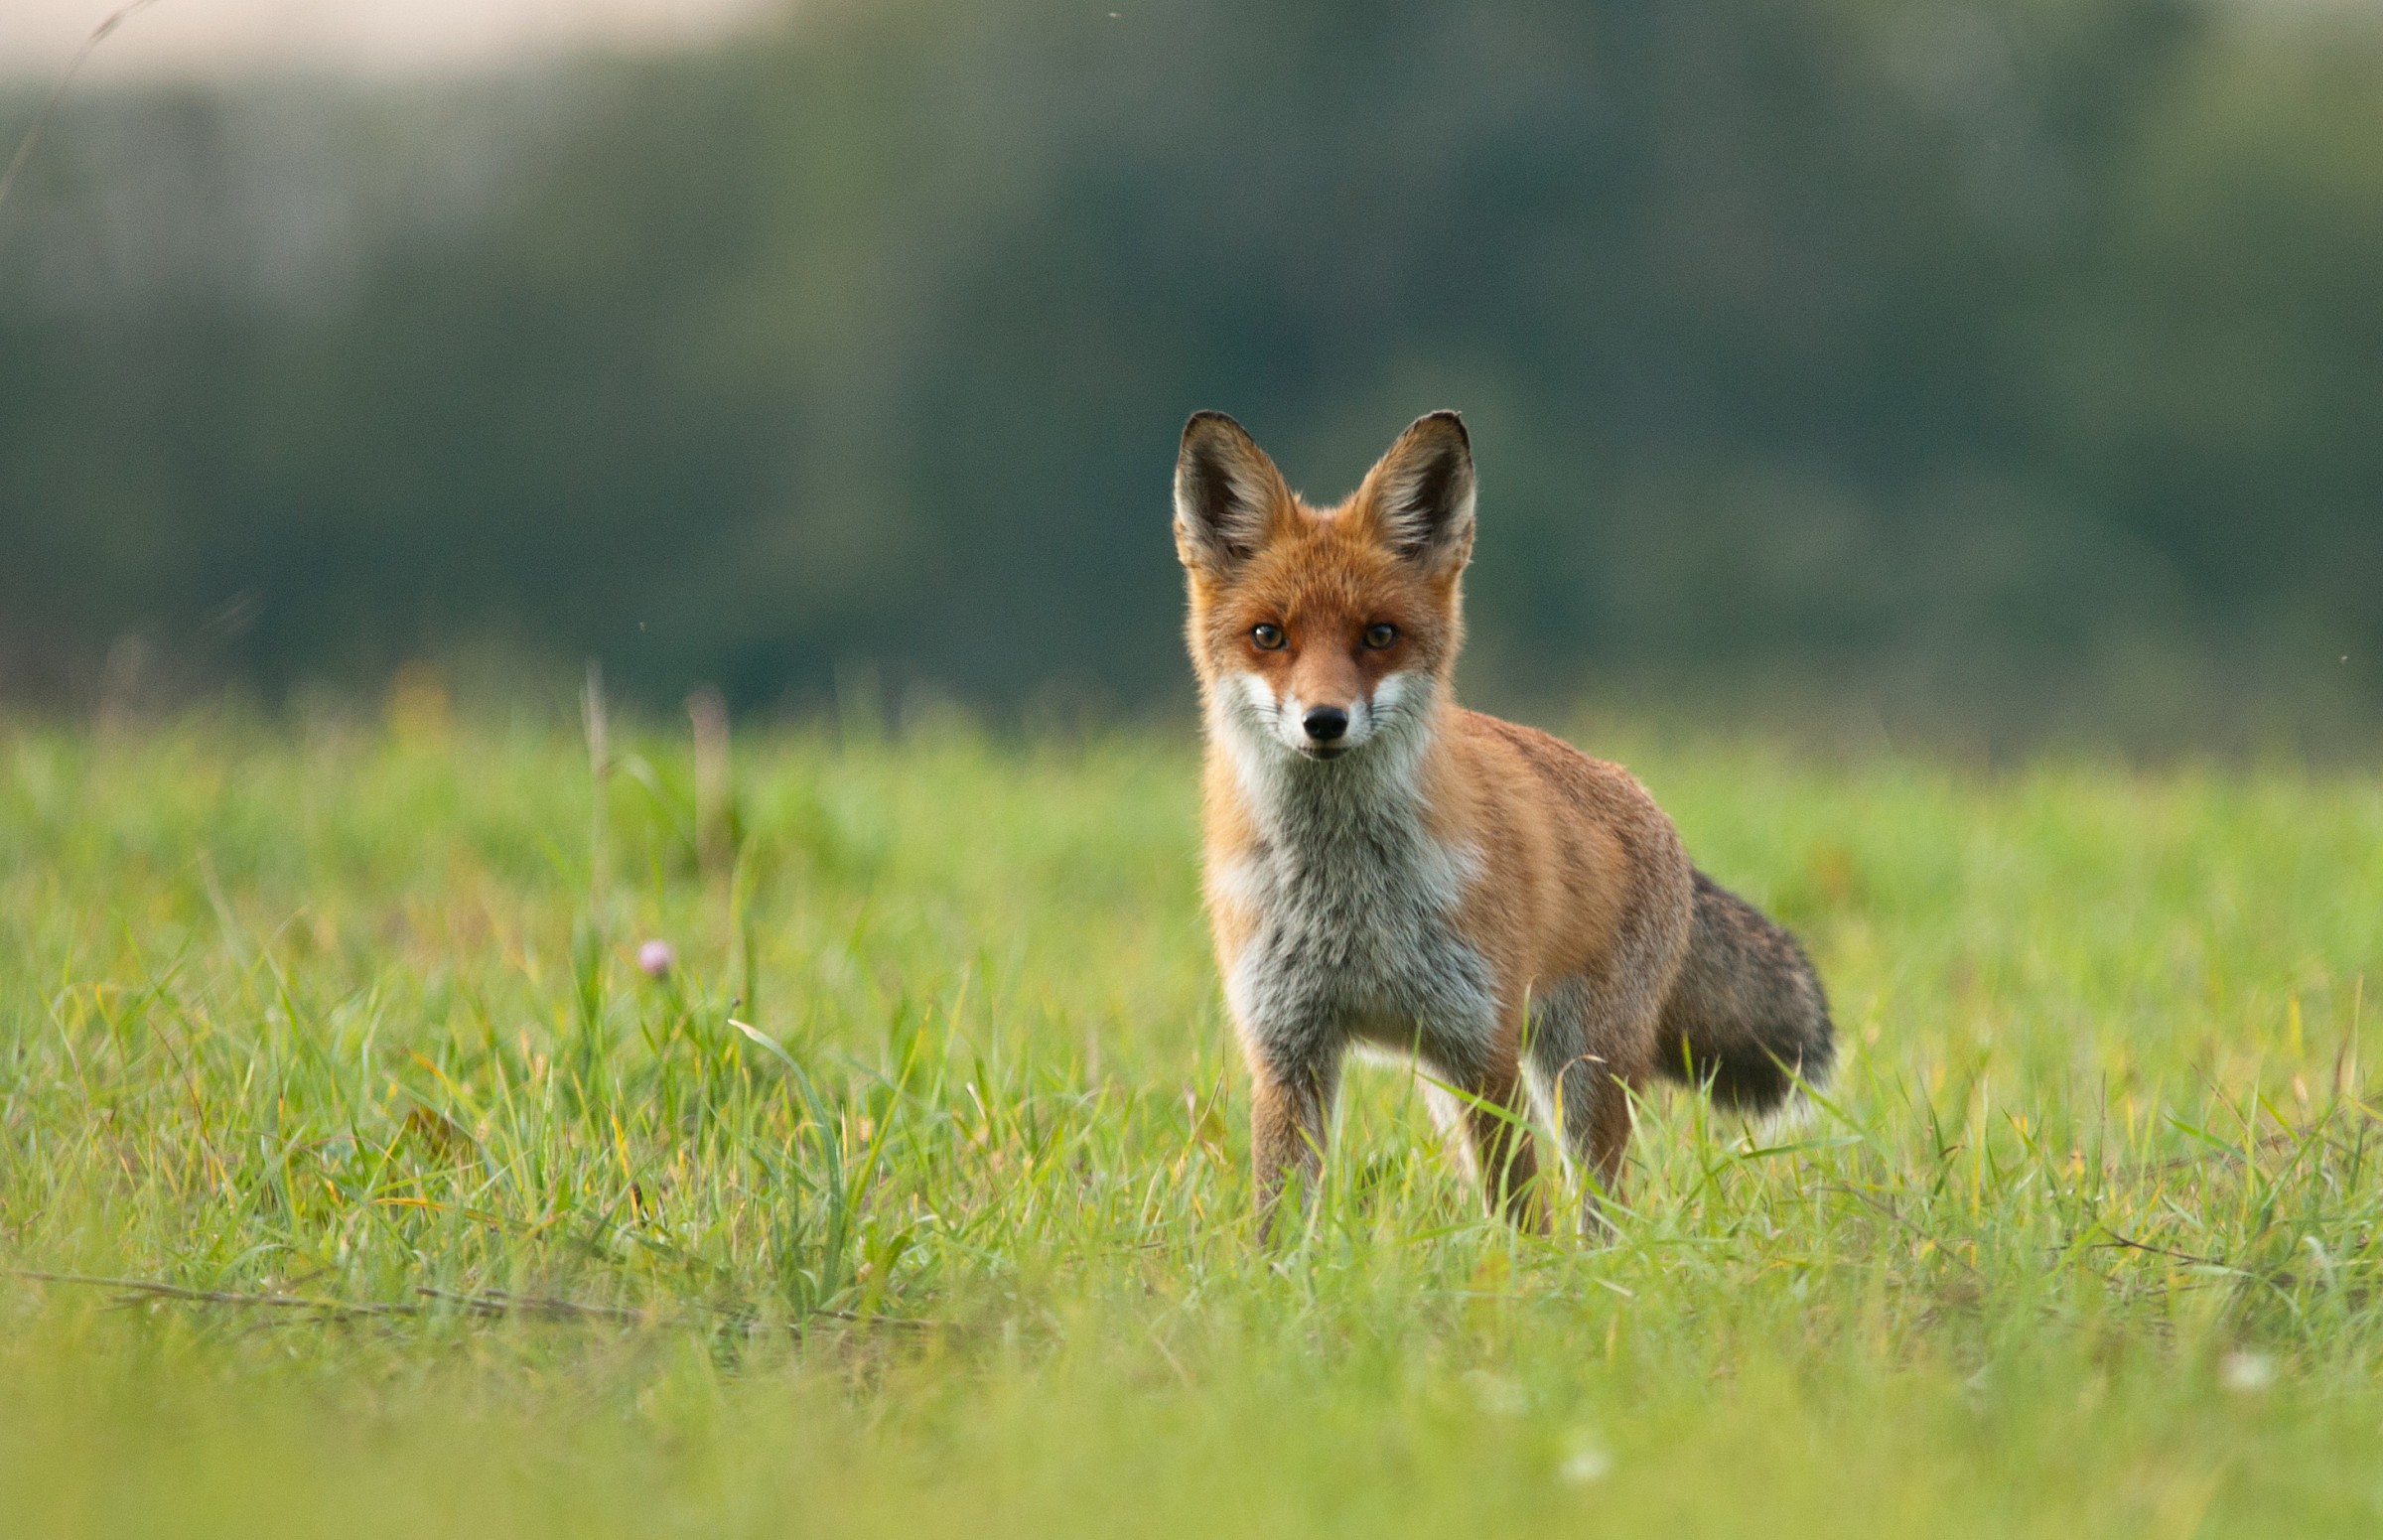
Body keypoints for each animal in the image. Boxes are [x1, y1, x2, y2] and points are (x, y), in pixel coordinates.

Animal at [1175, 409, 1834, 1235]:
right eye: (1269, 635)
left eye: (1379, 635)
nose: (1323, 721)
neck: (1347, 899)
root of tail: (1646, 801)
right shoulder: (1288, 1051)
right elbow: (1278, 1224)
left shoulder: (1479, 1047)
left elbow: (1522, 1218)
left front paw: (1519, 1271)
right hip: (1444, 1079)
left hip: (1579, 1076)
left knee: (1602, 1208)